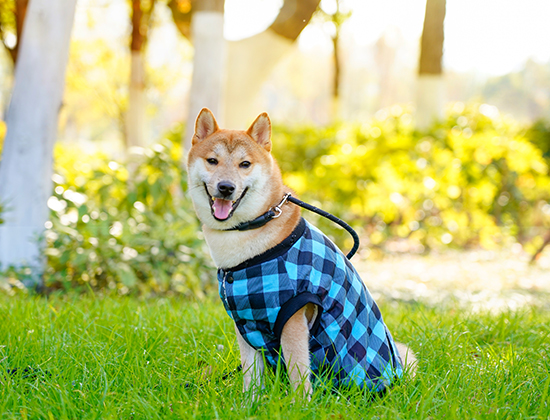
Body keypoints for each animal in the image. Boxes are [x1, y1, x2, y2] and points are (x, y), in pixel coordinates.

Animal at [188, 107, 416, 398]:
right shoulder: (245, 318)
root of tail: (396, 373)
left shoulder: (293, 314)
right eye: (212, 161)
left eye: (245, 164)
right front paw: (250, 403)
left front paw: (299, 404)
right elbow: (251, 377)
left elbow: (298, 372)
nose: (226, 187)